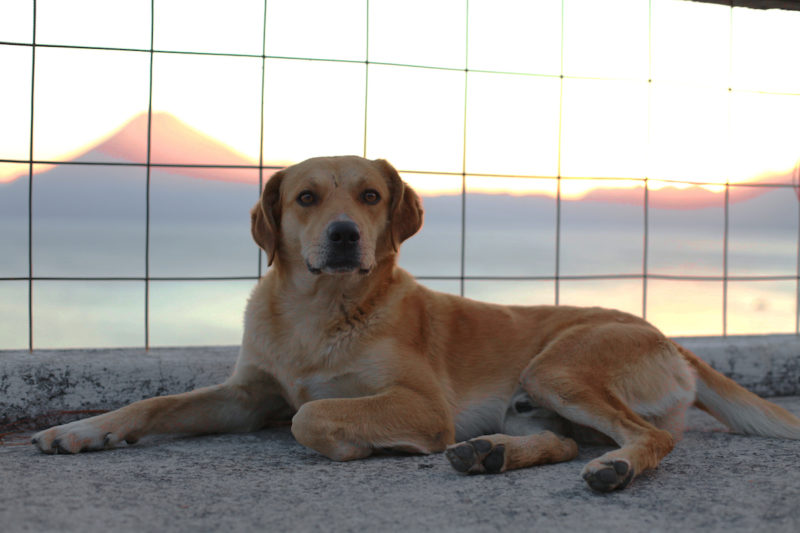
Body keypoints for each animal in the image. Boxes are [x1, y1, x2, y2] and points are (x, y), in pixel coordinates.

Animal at [32, 154, 800, 490]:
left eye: (371, 195)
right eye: (306, 197)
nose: (345, 234)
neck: (318, 313)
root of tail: (670, 340)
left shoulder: (424, 405)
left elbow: (310, 415)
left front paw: (367, 446)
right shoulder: (247, 393)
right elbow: (158, 401)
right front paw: (83, 429)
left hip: (559, 364)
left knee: (646, 438)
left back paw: (612, 467)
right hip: (542, 398)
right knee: (561, 441)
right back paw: (493, 453)